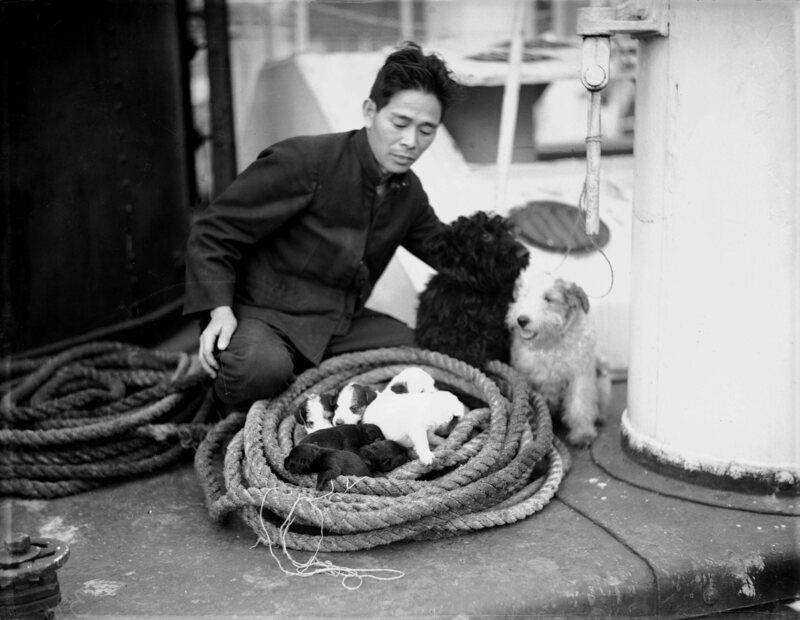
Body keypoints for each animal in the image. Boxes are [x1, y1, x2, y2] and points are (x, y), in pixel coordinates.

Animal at [412, 211, 532, 370]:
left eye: (508, 232)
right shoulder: (433, 330)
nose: (525, 253)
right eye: (485, 235)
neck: (475, 291)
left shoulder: (492, 334)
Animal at [506, 274, 612, 446]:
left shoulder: (580, 376)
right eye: (524, 295)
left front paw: (583, 434)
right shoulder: (527, 378)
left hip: (602, 373)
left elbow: (579, 405)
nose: (521, 320)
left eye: (548, 298)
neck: (550, 345)